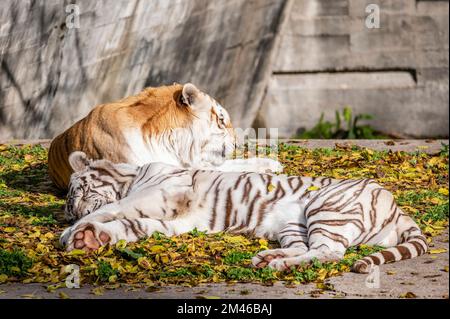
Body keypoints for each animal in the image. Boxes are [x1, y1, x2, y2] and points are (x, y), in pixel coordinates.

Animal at [60, 151, 428, 274]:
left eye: (79, 191)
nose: (71, 212)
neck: (132, 176)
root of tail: (398, 208)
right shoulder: (173, 220)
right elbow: (132, 226)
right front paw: (89, 239)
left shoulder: (164, 191)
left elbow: (116, 207)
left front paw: (73, 233)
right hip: (293, 225)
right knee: (309, 249)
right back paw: (269, 258)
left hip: (326, 207)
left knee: (330, 252)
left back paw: (277, 264)